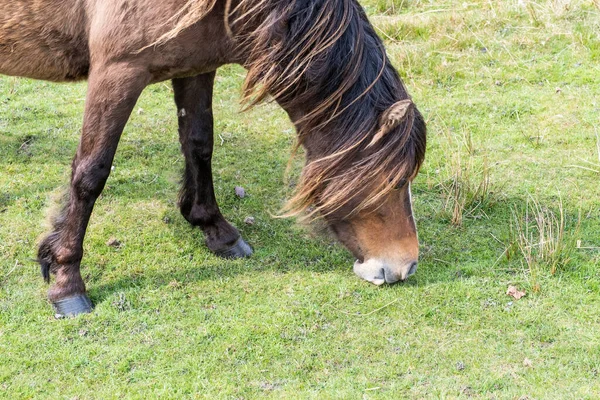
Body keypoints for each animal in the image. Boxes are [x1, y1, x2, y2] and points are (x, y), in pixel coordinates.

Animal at [0, 0, 426, 318]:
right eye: (394, 180)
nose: (404, 266)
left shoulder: (196, 64)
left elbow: (199, 143)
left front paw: (215, 229)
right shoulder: (118, 72)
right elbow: (91, 173)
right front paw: (66, 281)